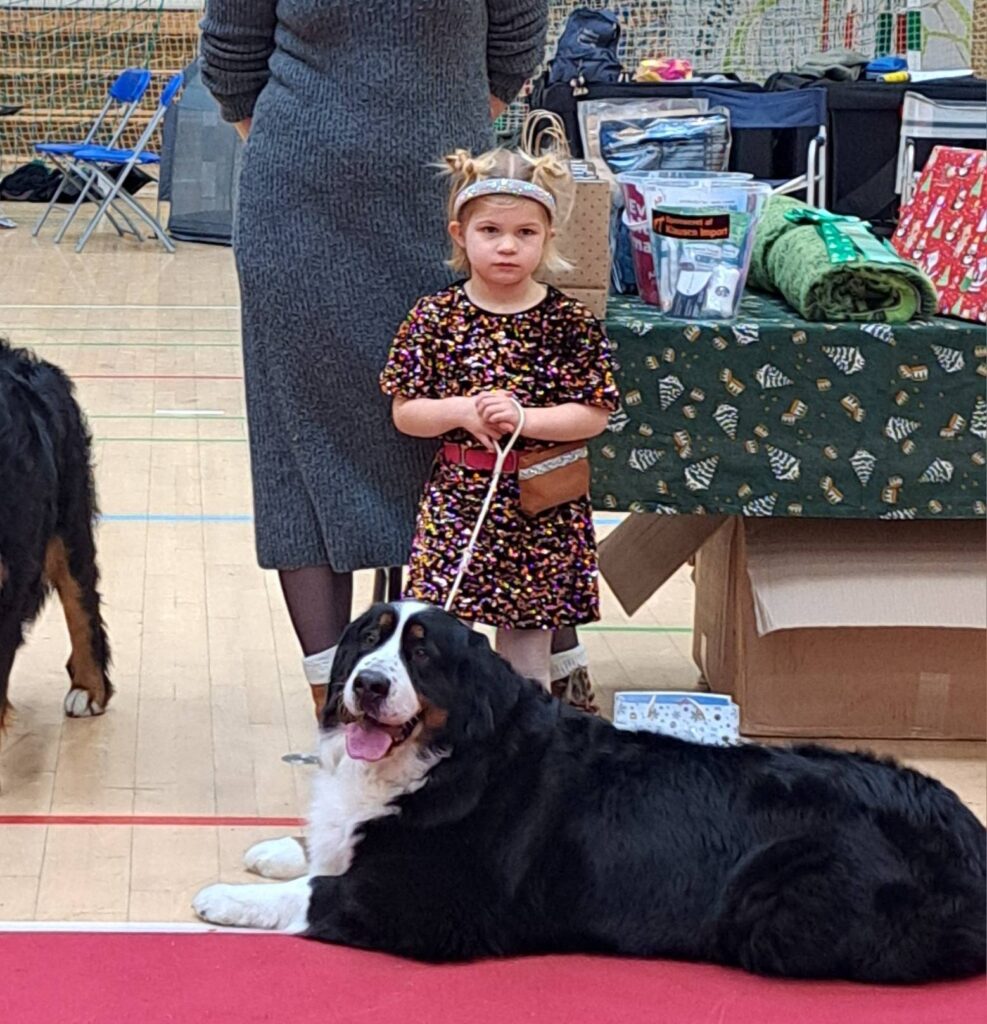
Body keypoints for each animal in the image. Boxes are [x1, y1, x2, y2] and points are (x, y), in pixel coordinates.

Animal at [194, 602, 986, 983]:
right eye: (366, 640)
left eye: (421, 656)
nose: (368, 685)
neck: (448, 757)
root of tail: (963, 829)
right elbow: (328, 848)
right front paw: (280, 847)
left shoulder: (432, 904)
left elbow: (320, 892)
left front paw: (227, 896)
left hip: (778, 910)